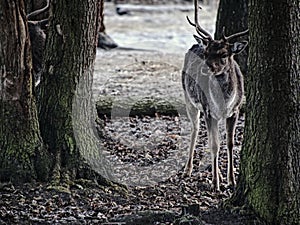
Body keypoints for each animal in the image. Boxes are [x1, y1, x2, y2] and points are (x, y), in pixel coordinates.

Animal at [180, 0, 248, 192]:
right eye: (207, 53)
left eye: (224, 54)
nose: (206, 68)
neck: (224, 102)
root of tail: (196, 43)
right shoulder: (210, 111)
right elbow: (214, 145)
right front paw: (215, 183)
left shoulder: (236, 111)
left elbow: (230, 143)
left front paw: (231, 180)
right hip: (189, 99)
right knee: (195, 129)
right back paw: (187, 170)